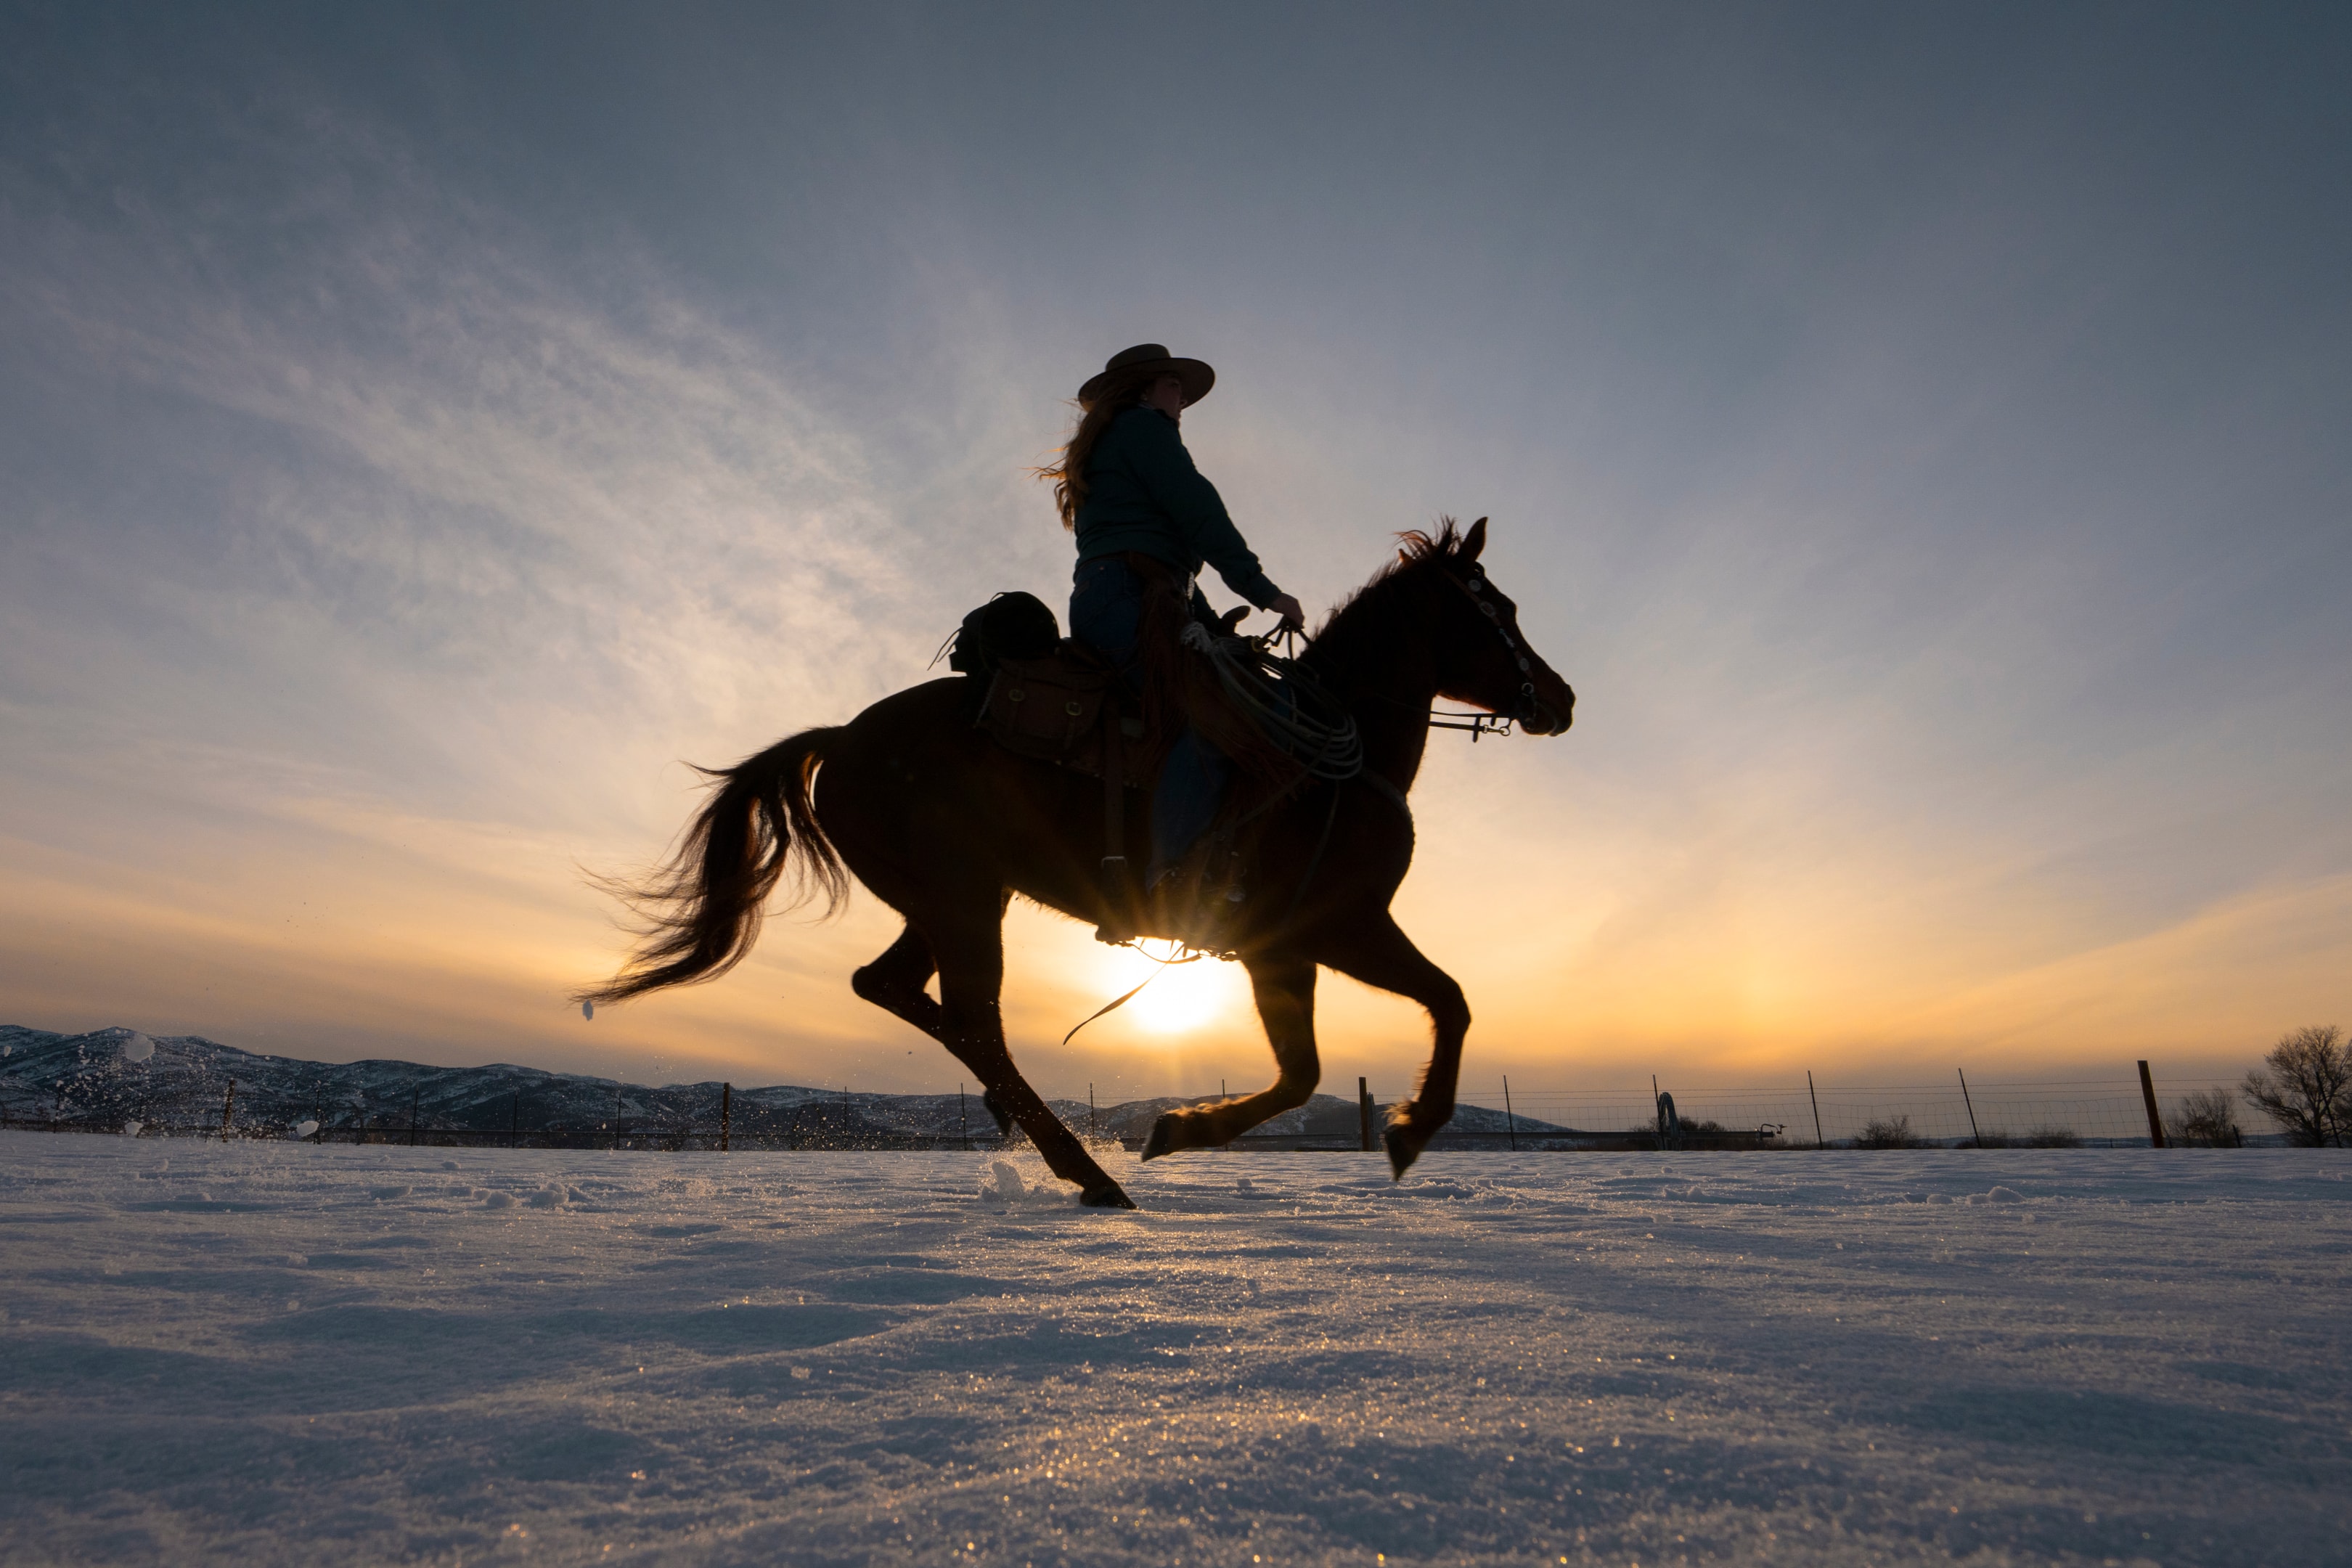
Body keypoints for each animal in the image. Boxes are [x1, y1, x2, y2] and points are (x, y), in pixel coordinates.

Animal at [580, 516, 1575, 1208]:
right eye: (1500, 612)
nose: (1560, 698)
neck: (1330, 758)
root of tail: (844, 738)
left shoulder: (1283, 950)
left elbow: (1307, 1070)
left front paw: (1177, 1128)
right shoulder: (1341, 925)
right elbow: (1447, 1002)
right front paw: (1411, 1129)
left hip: (948, 900)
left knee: (894, 988)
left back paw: (1025, 1126)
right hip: (964, 900)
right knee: (972, 1018)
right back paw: (1085, 1169)